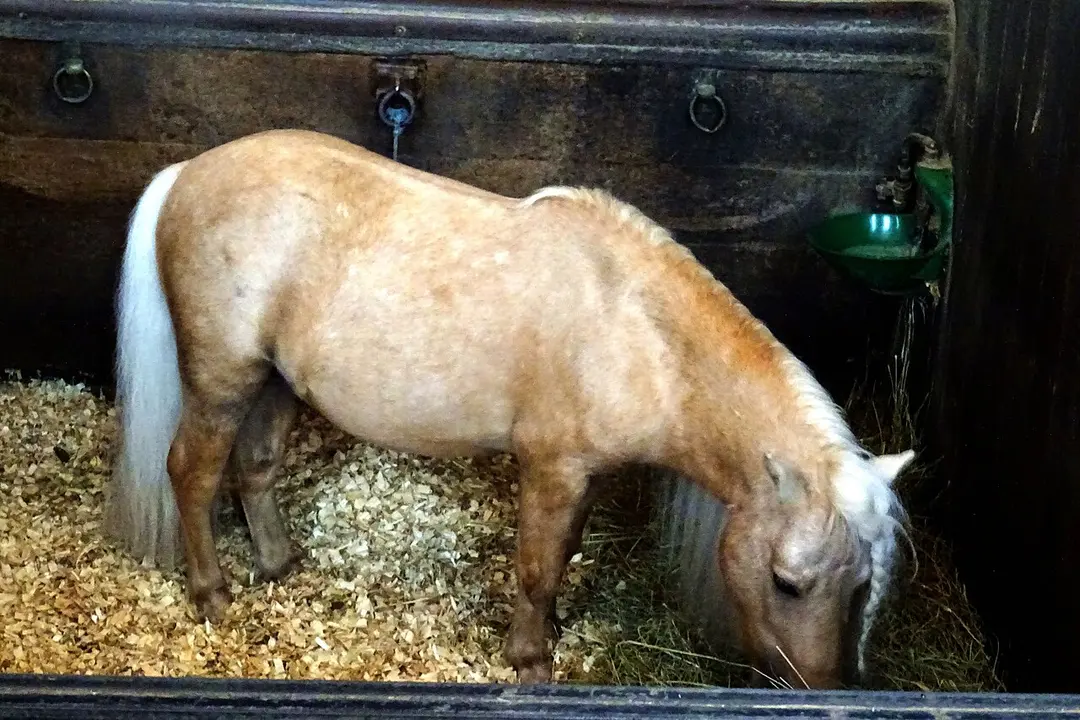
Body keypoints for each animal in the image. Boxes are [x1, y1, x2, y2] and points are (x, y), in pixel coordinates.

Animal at [106, 128, 915, 689]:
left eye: (861, 587)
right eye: (787, 582)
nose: (819, 687)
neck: (634, 331)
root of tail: (185, 174)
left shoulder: (583, 476)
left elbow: (561, 553)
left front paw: (550, 631)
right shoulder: (550, 467)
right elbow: (535, 565)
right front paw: (530, 660)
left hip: (275, 382)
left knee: (257, 465)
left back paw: (277, 563)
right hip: (222, 381)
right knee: (191, 471)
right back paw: (211, 595)